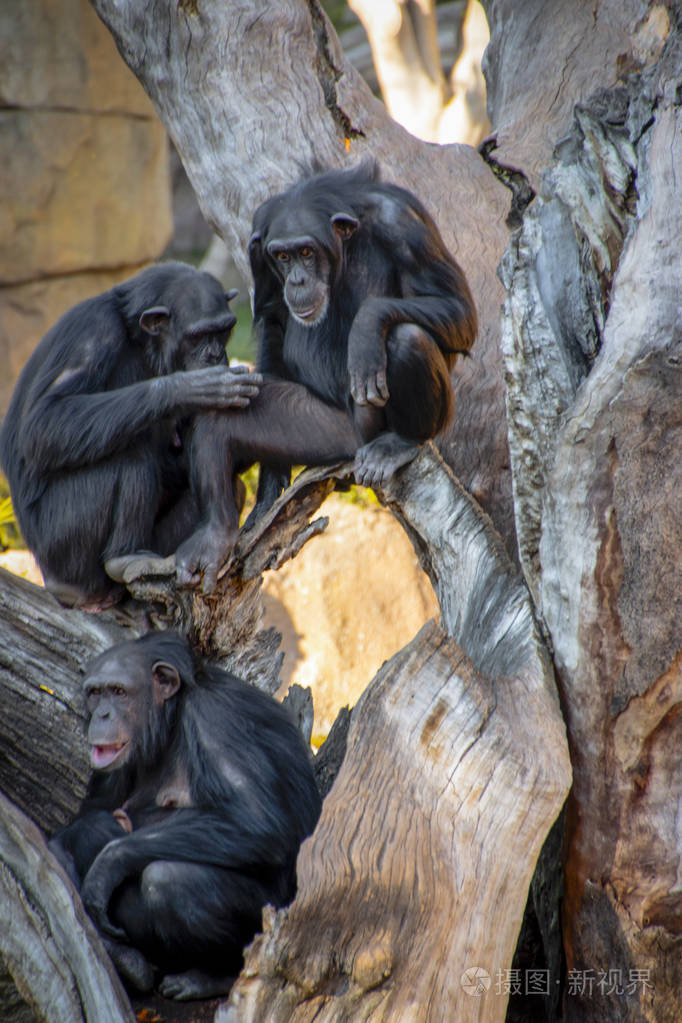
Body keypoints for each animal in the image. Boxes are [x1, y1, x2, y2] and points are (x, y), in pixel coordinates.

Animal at [0, 263, 261, 613]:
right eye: (198, 336)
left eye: (224, 330)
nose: (216, 353)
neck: (139, 340)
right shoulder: (93, 333)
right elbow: (44, 421)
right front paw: (190, 388)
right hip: (60, 545)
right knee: (129, 456)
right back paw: (122, 560)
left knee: (232, 487)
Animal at [49, 630, 321, 998]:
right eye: (95, 693)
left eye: (119, 692)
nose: (102, 714)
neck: (172, 719)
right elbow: (85, 817)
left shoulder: (216, 719)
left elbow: (257, 822)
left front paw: (108, 864)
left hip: (273, 921)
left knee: (170, 880)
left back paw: (210, 976)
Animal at [173, 160, 478, 593]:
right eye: (282, 256)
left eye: (306, 252)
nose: (297, 279)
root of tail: (358, 443)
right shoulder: (258, 244)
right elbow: (273, 317)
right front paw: (269, 489)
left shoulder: (404, 222)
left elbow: (456, 307)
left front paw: (366, 328)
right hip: (326, 432)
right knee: (217, 419)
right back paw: (215, 537)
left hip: (376, 427)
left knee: (406, 336)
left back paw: (399, 443)